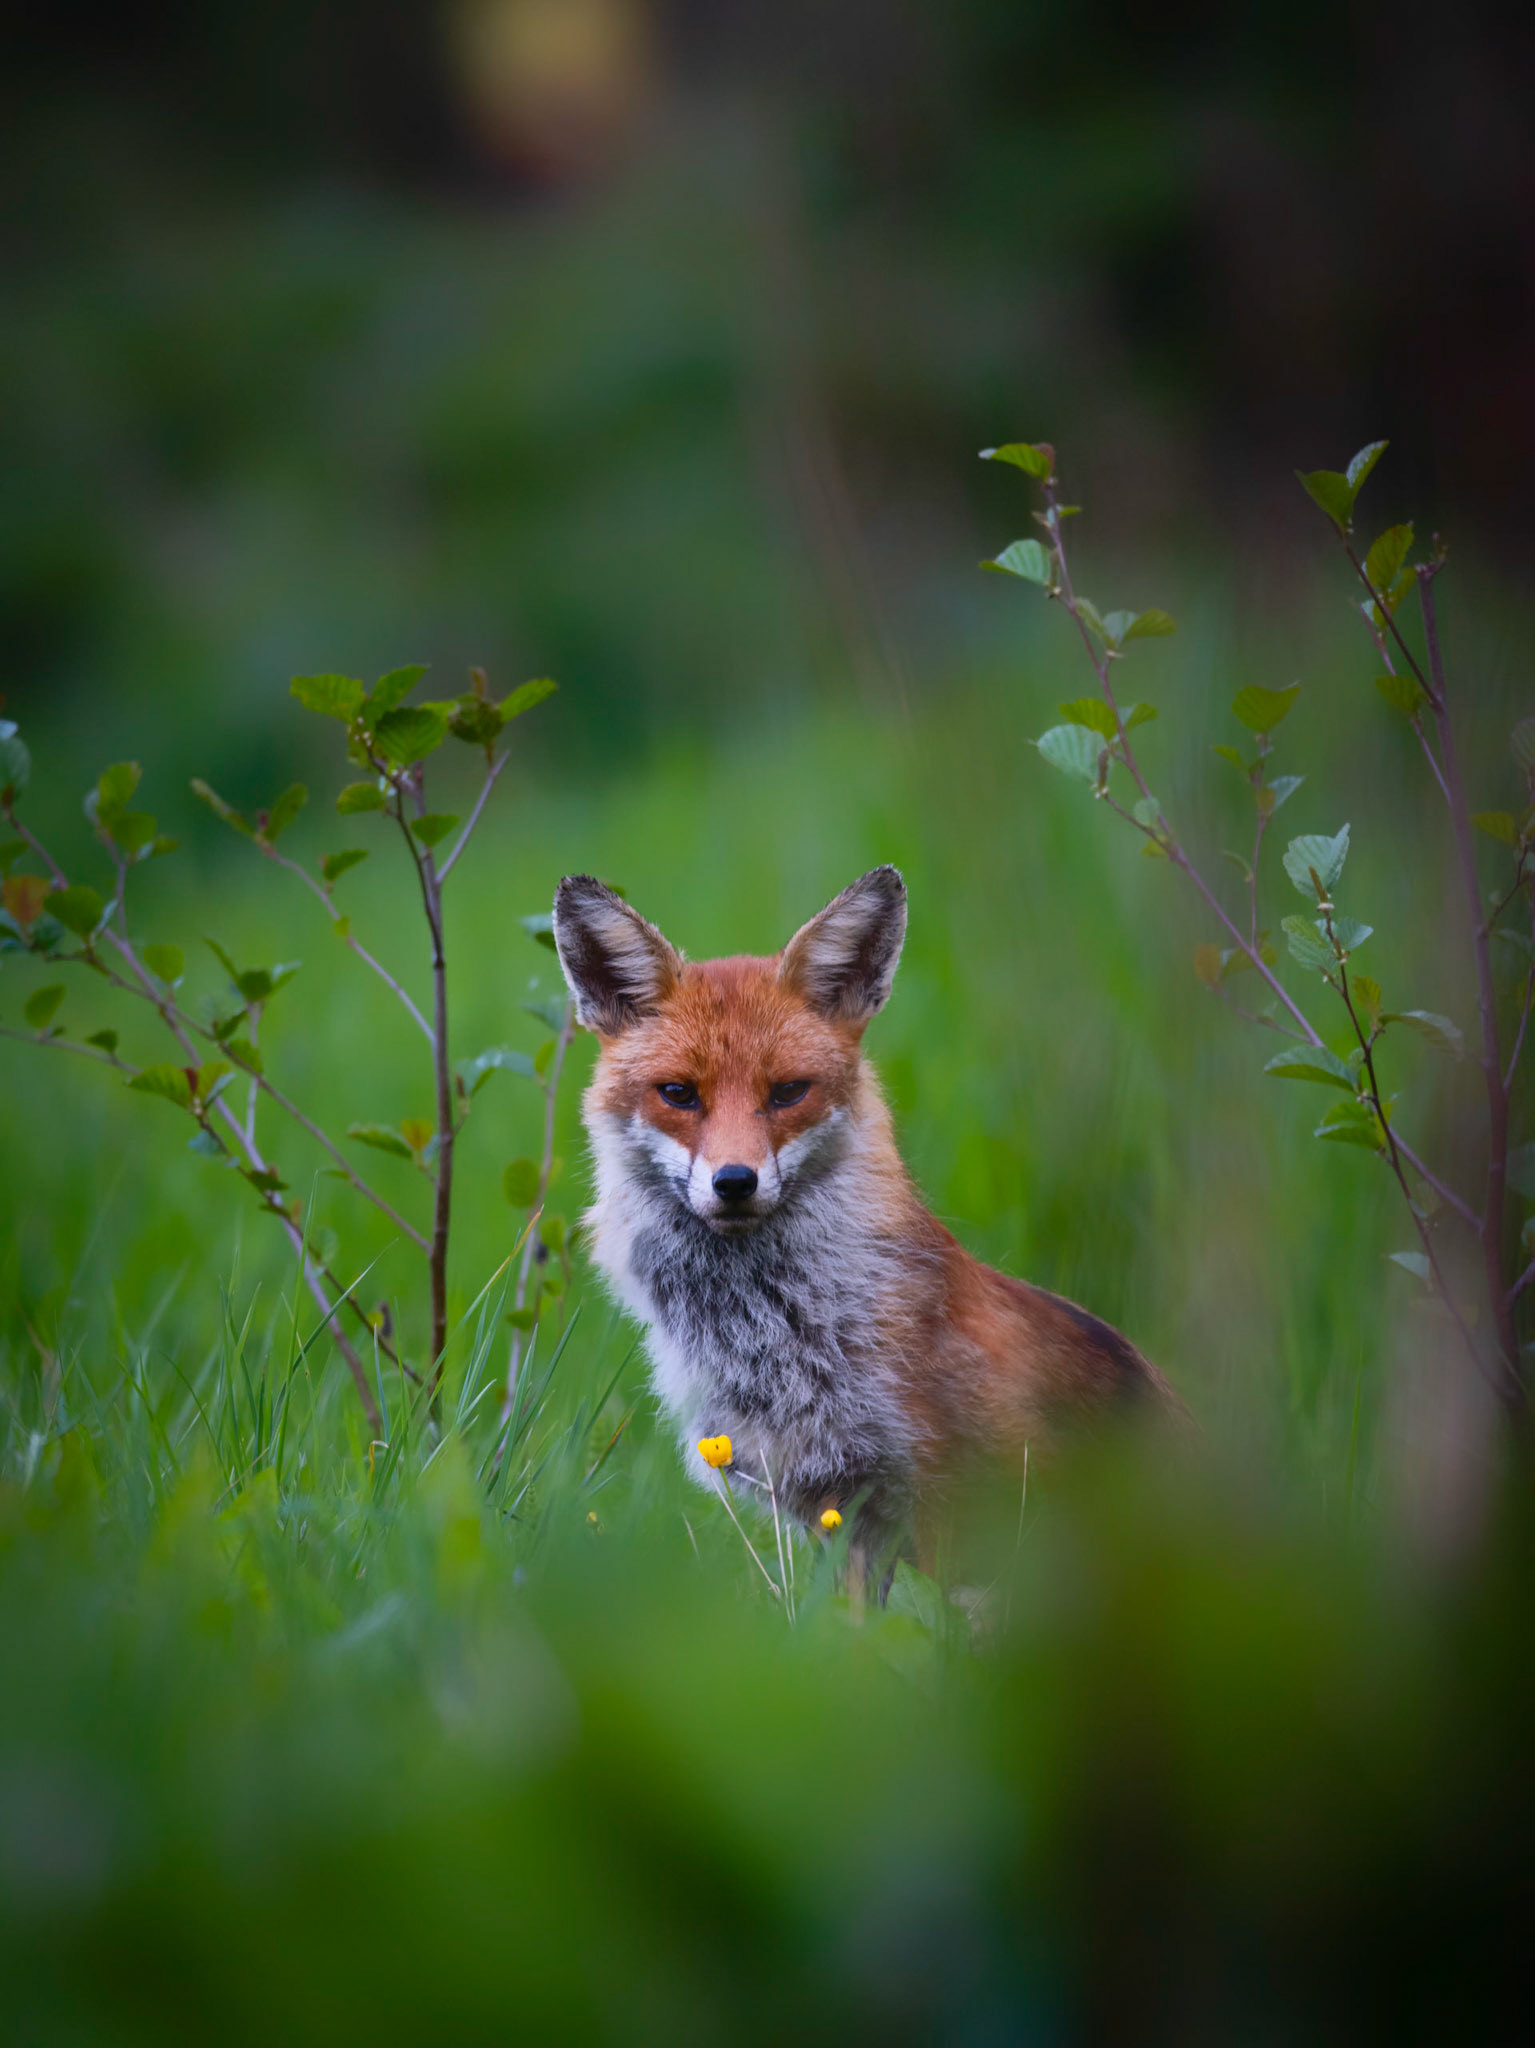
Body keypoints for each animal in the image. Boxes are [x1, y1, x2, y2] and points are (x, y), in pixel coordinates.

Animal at [551, 865, 1178, 1565]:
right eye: (679, 1094)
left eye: (788, 1092)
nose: (735, 1182)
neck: (778, 1338)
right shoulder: (839, 1513)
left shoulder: (962, 1508)